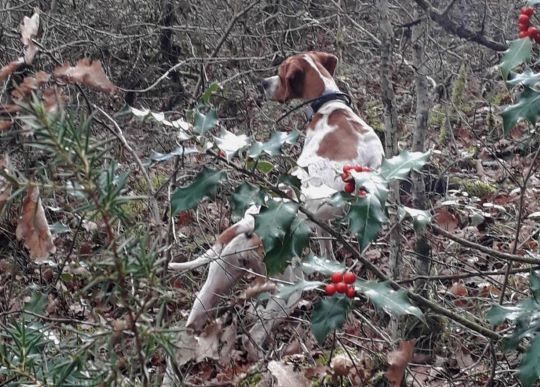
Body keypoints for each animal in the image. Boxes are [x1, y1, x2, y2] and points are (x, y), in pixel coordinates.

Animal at [171, 50, 386, 350]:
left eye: (281, 73)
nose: (263, 83)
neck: (330, 107)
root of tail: (248, 224)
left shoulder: (321, 223)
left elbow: (327, 247)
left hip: (217, 280)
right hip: (289, 286)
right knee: (260, 329)